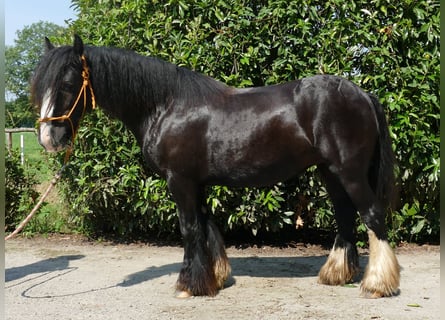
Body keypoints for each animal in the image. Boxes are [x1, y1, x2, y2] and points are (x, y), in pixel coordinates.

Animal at [31, 36, 398, 298]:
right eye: (41, 87)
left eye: (67, 85)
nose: (49, 139)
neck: (166, 105)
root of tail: (362, 94)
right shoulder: (198, 183)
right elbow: (207, 227)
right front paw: (214, 278)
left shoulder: (180, 181)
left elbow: (189, 229)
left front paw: (188, 285)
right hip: (330, 172)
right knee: (346, 217)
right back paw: (336, 275)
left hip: (349, 172)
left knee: (372, 216)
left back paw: (377, 285)